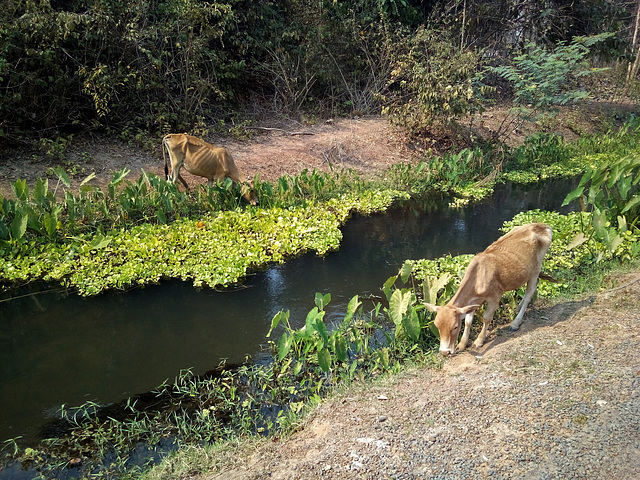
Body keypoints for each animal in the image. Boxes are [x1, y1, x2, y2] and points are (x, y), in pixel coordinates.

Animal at [422, 223, 552, 354]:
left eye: (455, 326)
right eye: (437, 326)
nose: (444, 352)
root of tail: (541, 225)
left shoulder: (495, 295)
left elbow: (487, 318)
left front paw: (479, 341)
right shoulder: (473, 301)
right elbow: (468, 321)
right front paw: (462, 344)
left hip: (536, 269)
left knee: (529, 293)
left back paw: (515, 323)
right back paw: (517, 308)